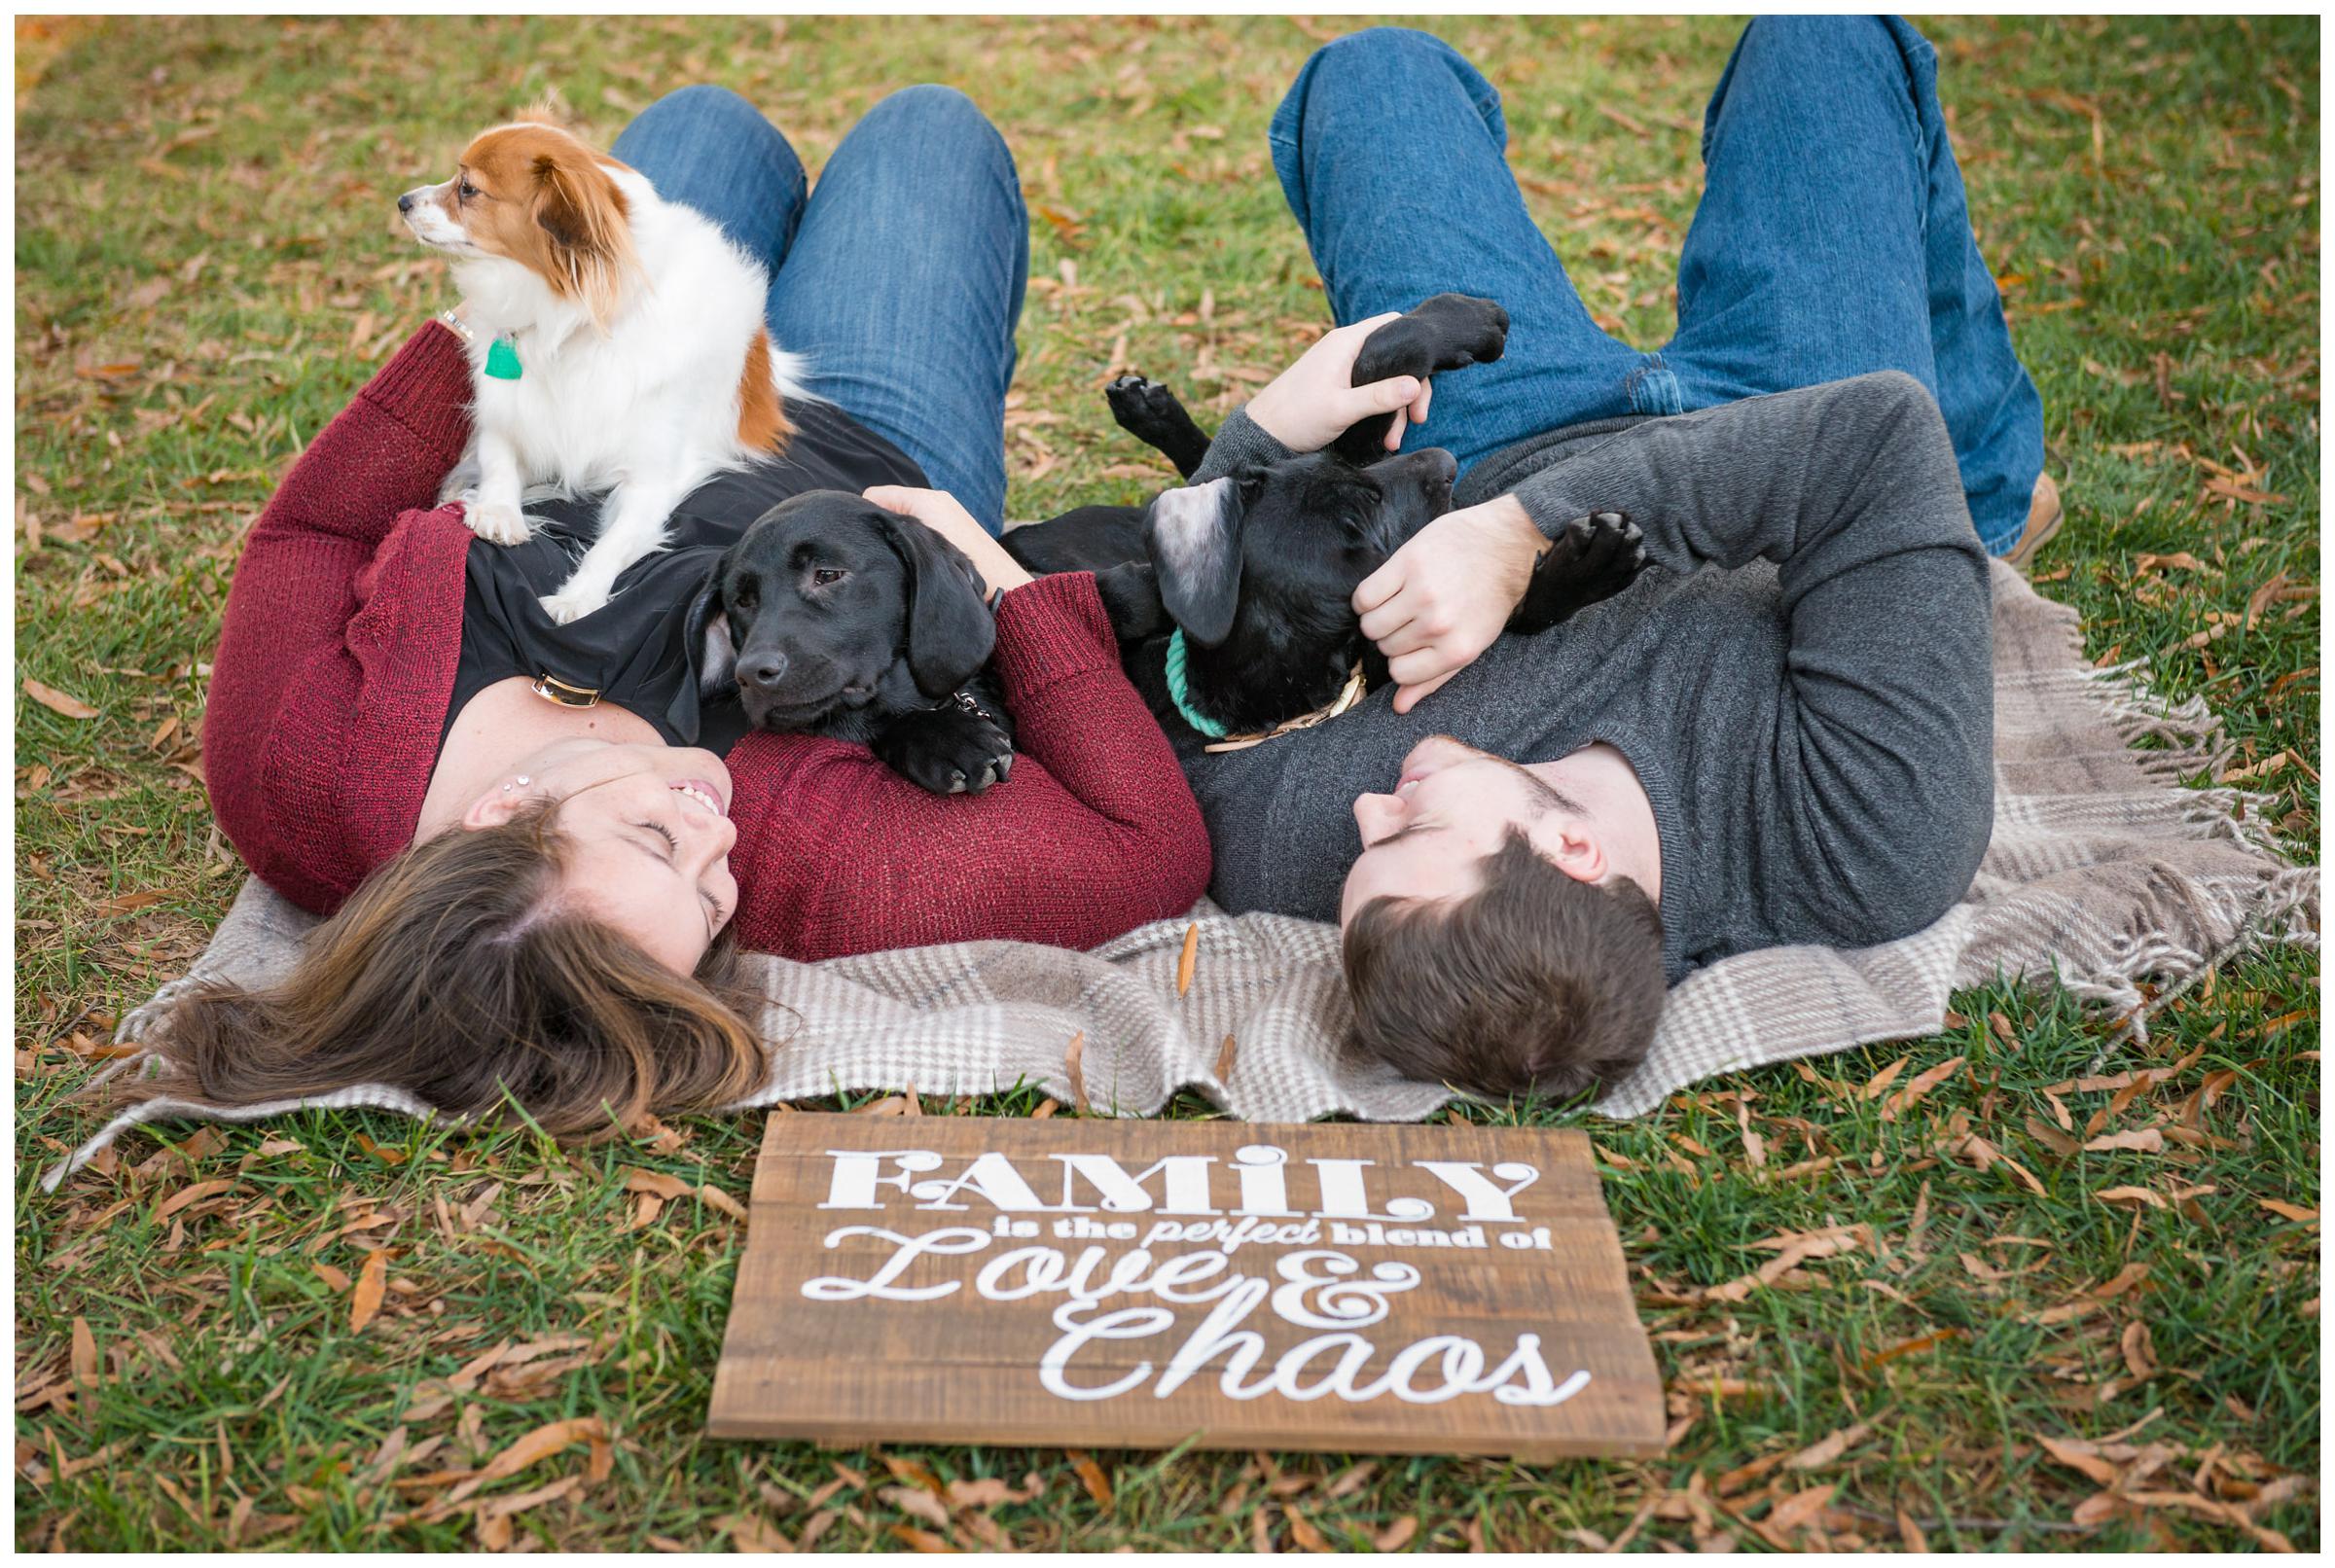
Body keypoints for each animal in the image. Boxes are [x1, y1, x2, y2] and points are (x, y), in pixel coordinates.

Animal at [397, 113, 808, 624]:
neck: (573, 327)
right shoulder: (508, 417)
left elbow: (610, 545)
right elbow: (498, 460)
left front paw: (578, 597)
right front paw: (498, 511)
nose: (403, 201)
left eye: (468, 189)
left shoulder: (652, 478)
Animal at [999, 295, 1643, 746]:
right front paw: (1589, 567)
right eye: (1368, 533)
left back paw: (1149, 408)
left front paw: (1456, 318)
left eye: (1344, 478)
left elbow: (1378, 359)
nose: (1445, 462)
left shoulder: (1346, 448)